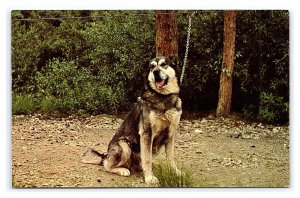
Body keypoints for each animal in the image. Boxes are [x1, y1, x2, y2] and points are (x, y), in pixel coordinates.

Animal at [81, 55, 183, 184]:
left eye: (164, 64)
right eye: (152, 67)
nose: (155, 72)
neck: (163, 97)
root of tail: (106, 155)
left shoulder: (170, 134)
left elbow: (171, 157)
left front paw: (175, 172)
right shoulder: (147, 133)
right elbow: (147, 159)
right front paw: (149, 178)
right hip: (124, 145)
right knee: (107, 165)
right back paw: (123, 170)